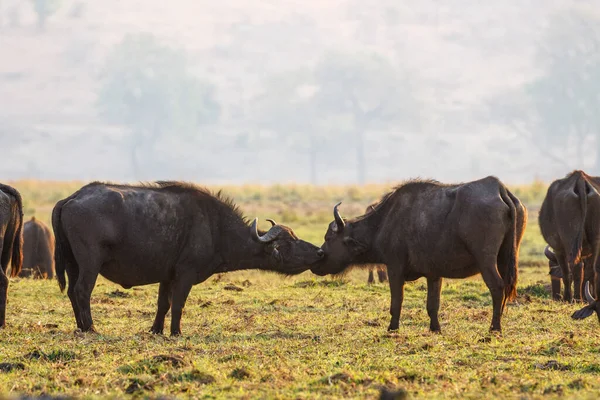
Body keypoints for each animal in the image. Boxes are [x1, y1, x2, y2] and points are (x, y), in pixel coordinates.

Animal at [51, 181, 324, 334]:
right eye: (289, 242)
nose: (319, 252)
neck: (216, 228)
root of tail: (71, 198)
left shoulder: (166, 276)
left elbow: (163, 304)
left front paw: (156, 330)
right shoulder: (186, 274)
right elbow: (179, 305)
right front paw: (176, 332)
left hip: (73, 264)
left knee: (72, 292)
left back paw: (80, 326)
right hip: (90, 263)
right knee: (82, 291)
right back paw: (90, 327)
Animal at [312, 177, 528, 332]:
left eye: (329, 237)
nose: (317, 259)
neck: (385, 222)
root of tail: (498, 187)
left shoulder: (395, 268)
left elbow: (397, 301)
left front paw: (392, 328)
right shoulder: (434, 274)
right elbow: (433, 304)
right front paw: (435, 328)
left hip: (486, 260)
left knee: (497, 286)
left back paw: (494, 327)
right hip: (506, 258)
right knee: (506, 286)